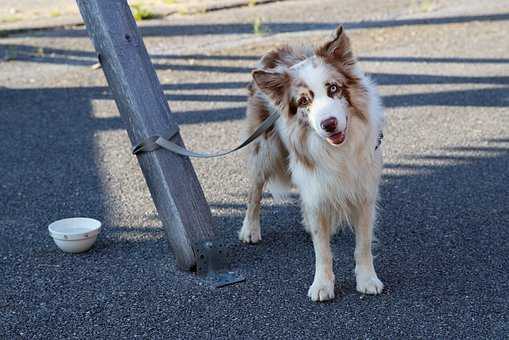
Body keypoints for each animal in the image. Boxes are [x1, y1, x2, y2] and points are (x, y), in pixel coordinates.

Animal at [240, 26, 382, 302]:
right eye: (304, 101)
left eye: (334, 88)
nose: (329, 124)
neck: (338, 150)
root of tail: (277, 49)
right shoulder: (315, 185)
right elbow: (322, 250)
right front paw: (322, 285)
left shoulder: (364, 193)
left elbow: (363, 244)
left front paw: (367, 279)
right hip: (264, 150)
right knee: (255, 191)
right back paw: (250, 230)